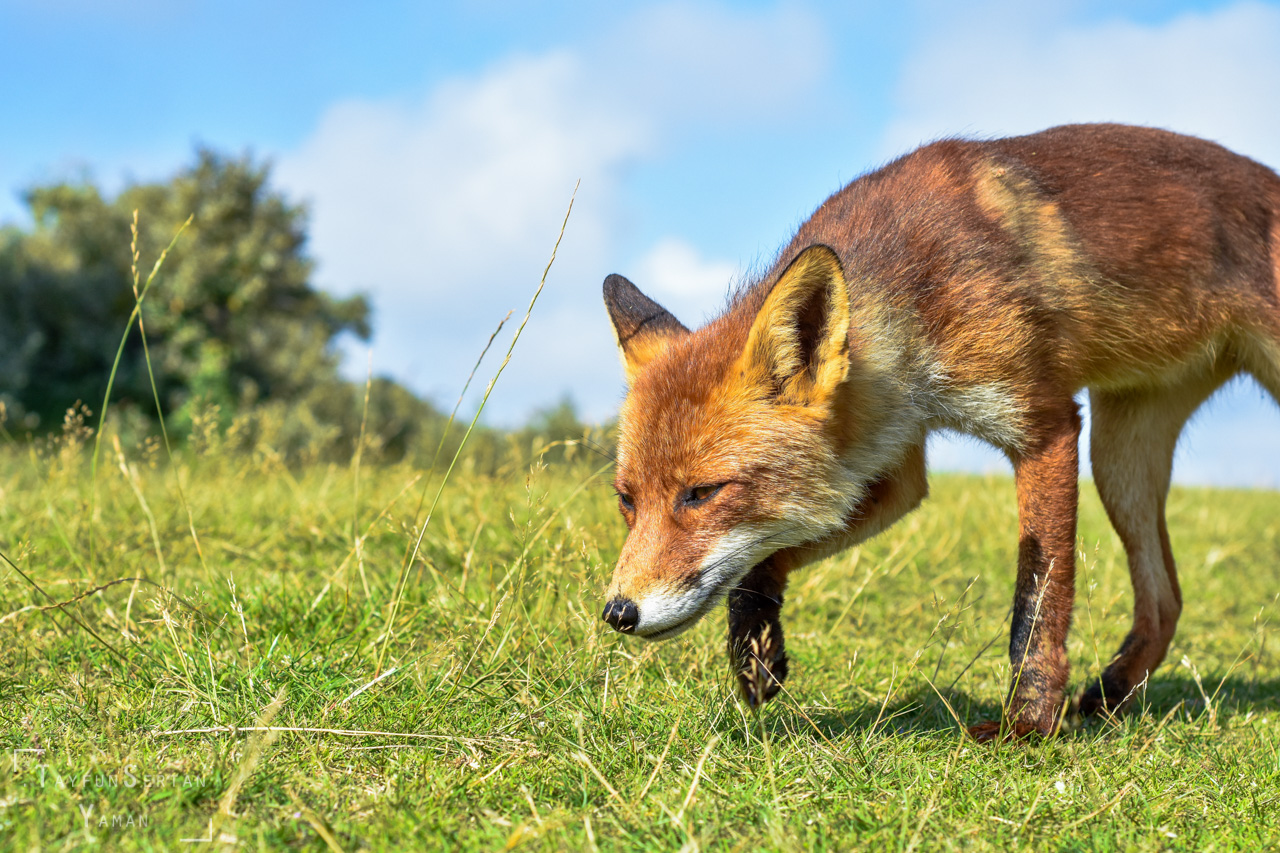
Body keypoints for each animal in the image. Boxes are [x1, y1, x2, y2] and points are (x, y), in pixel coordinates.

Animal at [598, 123, 1280, 741]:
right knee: (1166, 601)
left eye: (702, 494)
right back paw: (1111, 694)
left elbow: (1036, 599)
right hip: (1121, 458)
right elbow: (771, 554)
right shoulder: (890, 464)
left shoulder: (1044, 425)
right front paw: (754, 643)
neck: (917, 301)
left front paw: (1028, 724)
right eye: (626, 500)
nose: (617, 612)